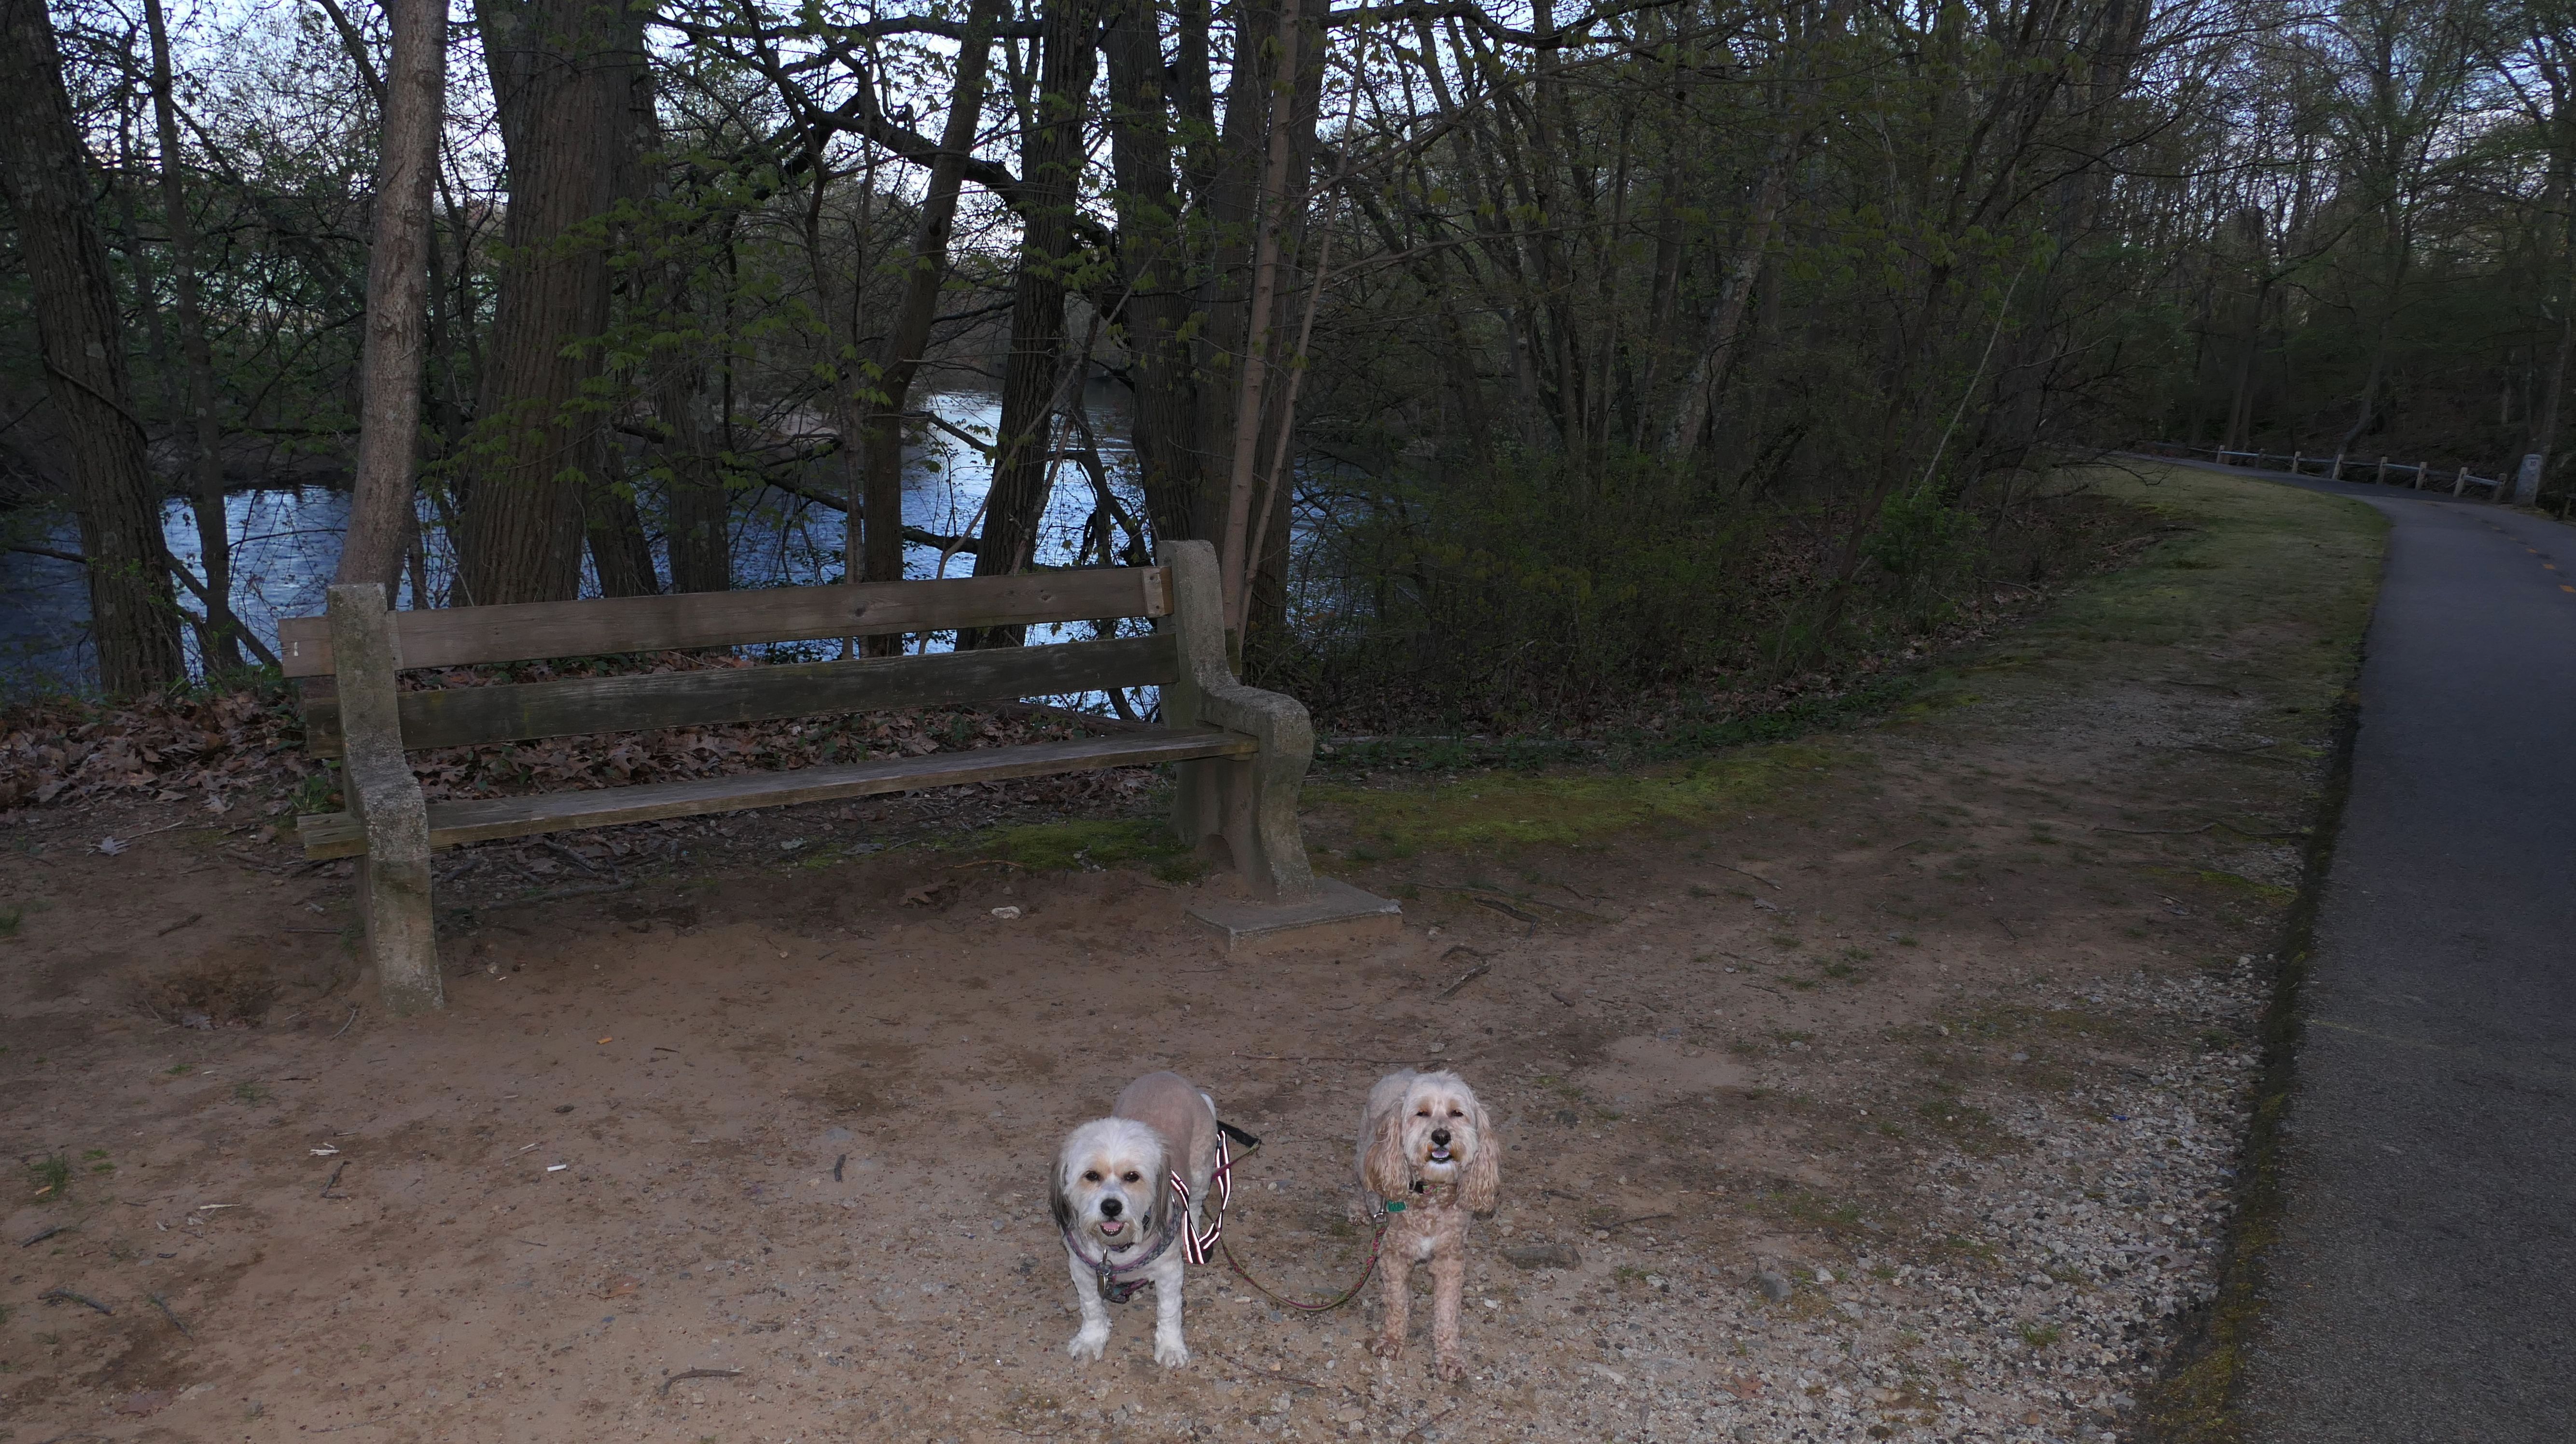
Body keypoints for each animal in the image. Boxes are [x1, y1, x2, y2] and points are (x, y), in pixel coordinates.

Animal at [1050, 1071, 1219, 1368]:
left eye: (1133, 1177)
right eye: (1091, 1176)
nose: (1111, 1206)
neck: (1117, 1249)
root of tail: (1168, 1076)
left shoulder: (1169, 1273)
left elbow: (1169, 1312)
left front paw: (1171, 1347)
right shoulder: (1083, 1272)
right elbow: (1092, 1308)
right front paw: (1091, 1340)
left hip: (1201, 1171)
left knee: (1196, 1205)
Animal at [1356, 1068, 1500, 1380]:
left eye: (1457, 1113)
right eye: (1421, 1113)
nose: (1442, 1136)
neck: (1431, 1194)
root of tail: (1401, 1073)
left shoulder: (1450, 1259)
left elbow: (1447, 1311)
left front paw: (1449, 1356)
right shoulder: (1394, 1255)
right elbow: (1397, 1302)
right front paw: (1392, 1340)